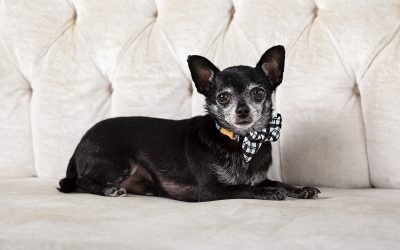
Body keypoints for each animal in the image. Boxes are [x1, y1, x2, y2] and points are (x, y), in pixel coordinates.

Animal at [57, 45, 320, 201]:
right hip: (118, 162)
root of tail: (80, 144)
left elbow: (277, 181)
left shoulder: (258, 176)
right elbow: (247, 188)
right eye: (222, 97)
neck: (241, 141)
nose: (242, 110)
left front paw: (299, 188)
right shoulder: (212, 189)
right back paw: (107, 189)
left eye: (258, 93)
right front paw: (270, 192)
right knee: (78, 181)